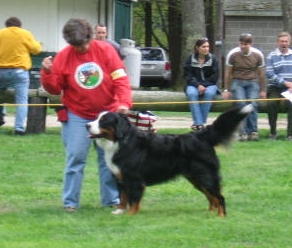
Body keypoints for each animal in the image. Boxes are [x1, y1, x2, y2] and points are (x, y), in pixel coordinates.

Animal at [85, 104, 252, 217]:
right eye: (96, 118)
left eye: (103, 121)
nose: (87, 125)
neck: (121, 141)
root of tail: (200, 136)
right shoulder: (121, 177)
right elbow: (123, 198)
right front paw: (119, 212)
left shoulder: (134, 179)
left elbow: (133, 199)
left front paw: (131, 214)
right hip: (196, 177)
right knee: (211, 197)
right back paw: (210, 214)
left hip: (205, 175)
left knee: (219, 196)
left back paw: (221, 216)